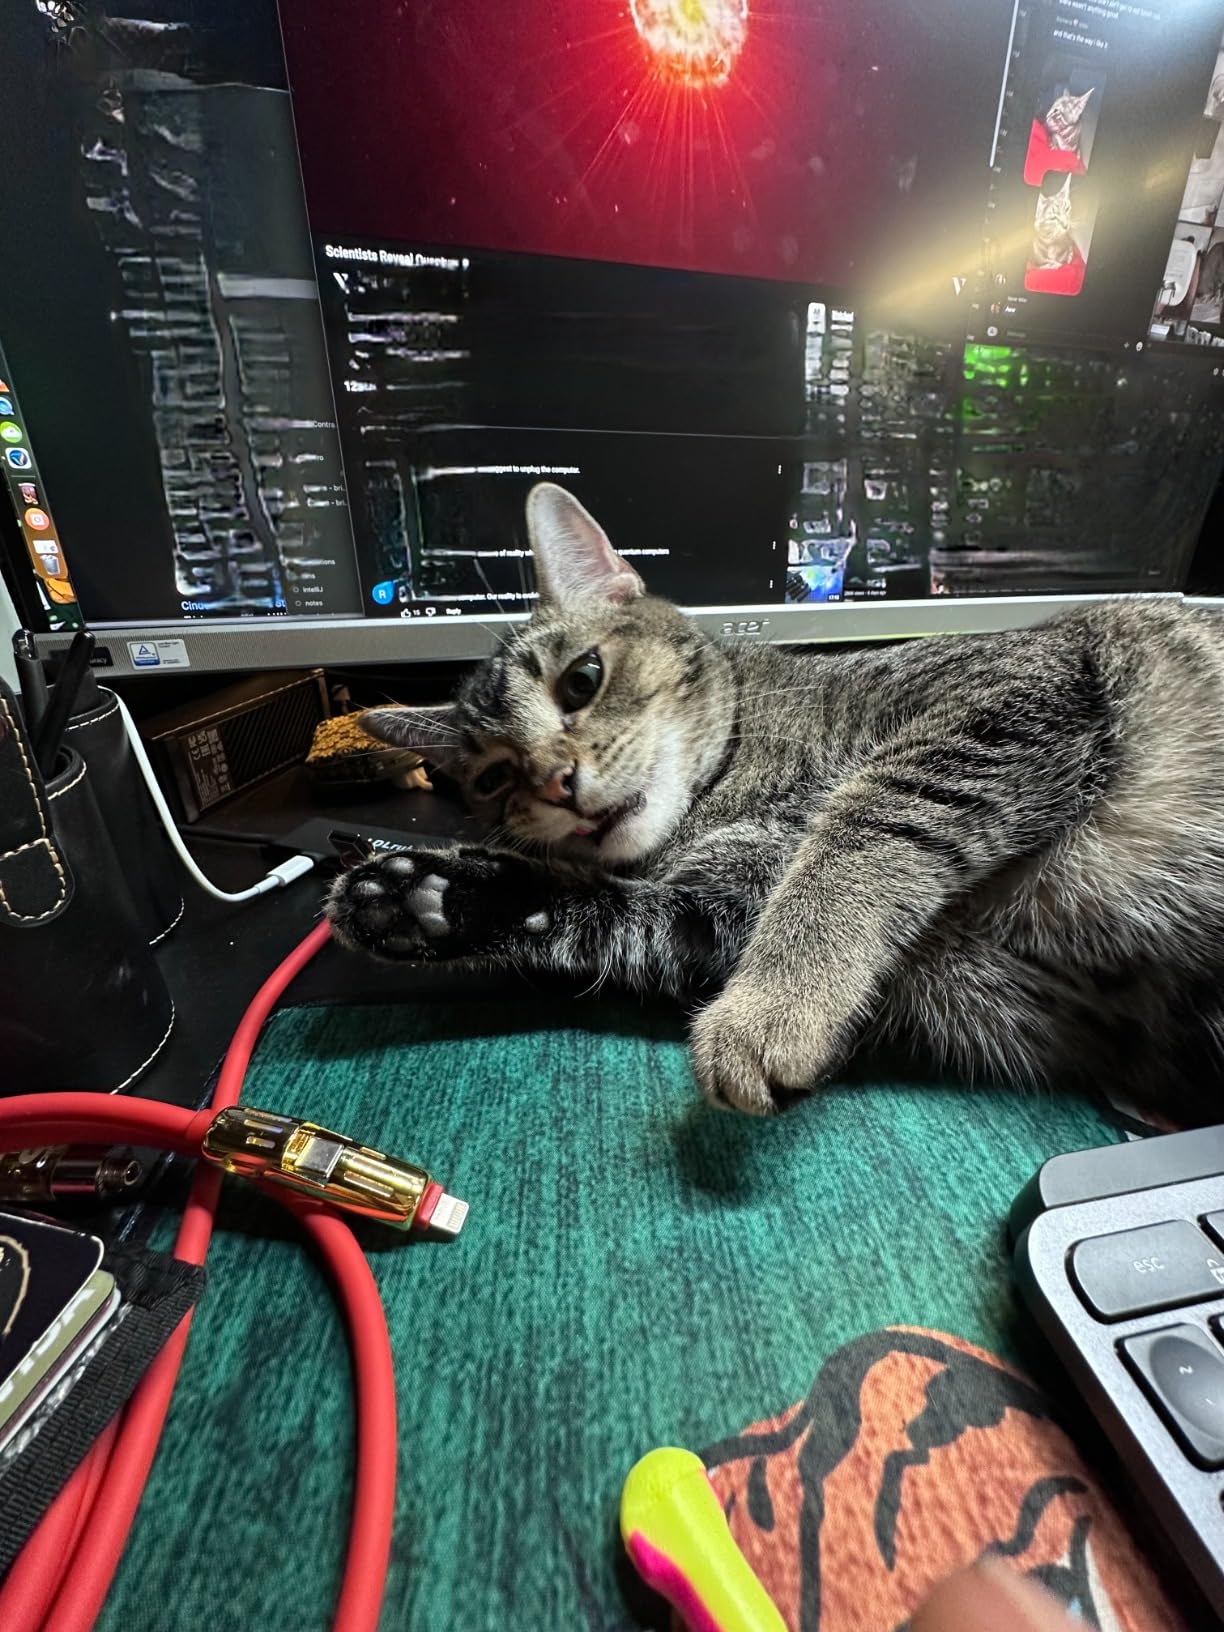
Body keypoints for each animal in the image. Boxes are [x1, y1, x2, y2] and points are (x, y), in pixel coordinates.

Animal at [328, 483, 1224, 1123]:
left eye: (582, 679)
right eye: (491, 780)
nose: (553, 783)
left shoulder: (1007, 697)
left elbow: (856, 841)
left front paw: (771, 1010)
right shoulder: (708, 913)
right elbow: (596, 915)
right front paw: (425, 896)